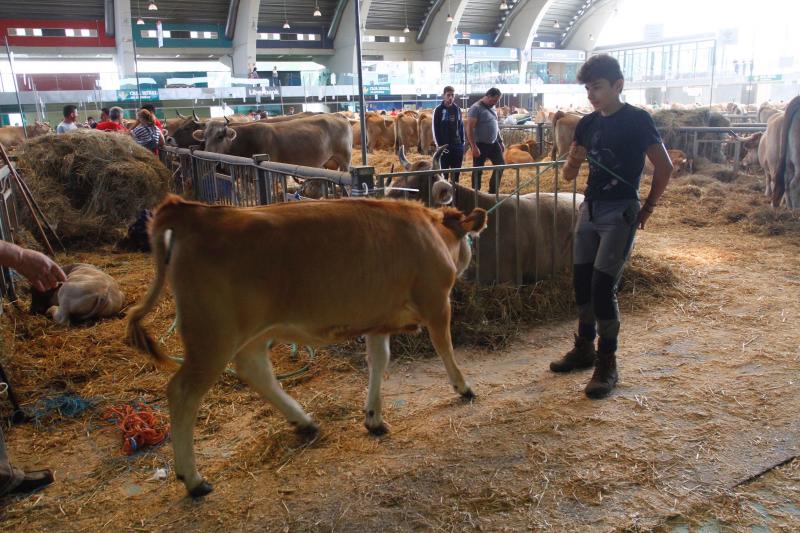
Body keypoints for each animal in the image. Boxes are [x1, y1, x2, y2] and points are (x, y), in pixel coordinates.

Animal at [126, 194, 488, 494]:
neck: (433, 232)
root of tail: (196, 212)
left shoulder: (377, 317)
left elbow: (379, 360)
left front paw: (373, 416)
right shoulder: (436, 301)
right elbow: (444, 345)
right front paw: (464, 387)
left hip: (252, 333)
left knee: (254, 370)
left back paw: (304, 421)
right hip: (213, 335)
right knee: (183, 392)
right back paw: (193, 478)